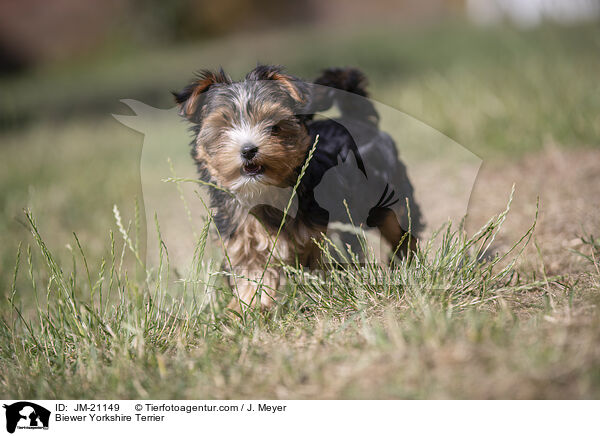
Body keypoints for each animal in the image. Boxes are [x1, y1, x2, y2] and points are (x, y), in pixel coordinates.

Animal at [171, 64, 420, 312]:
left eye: (274, 126)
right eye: (223, 128)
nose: (248, 150)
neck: (264, 192)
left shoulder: (324, 231)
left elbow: (324, 263)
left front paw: (328, 294)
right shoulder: (242, 241)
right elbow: (252, 277)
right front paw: (245, 309)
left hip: (391, 191)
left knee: (398, 225)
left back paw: (405, 264)